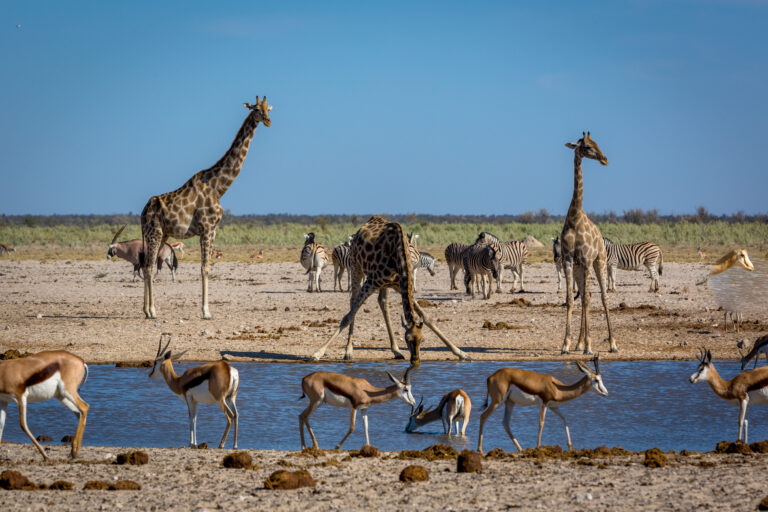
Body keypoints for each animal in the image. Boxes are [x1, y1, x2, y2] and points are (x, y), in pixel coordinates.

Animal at [141, 97, 272, 318]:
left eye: (267, 109)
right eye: (256, 109)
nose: (269, 121)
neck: (218, 187)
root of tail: (142, 213)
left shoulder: (213, 230)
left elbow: (207, 267)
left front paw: (206, 310)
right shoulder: (207, 228)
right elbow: (205, 268)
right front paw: (206, 312)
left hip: (162, 234)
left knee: (144, 265)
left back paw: (145, 310)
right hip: (154, 233)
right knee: (149, 267)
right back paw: (152, 311)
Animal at [310, 215, 468, 364]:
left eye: (422, 340)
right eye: (407, 339)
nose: (415, 360)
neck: (399, 257)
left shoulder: (401, 285)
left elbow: (428, 318)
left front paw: (461, 353)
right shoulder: (371, 282)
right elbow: (347, 317)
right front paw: (317, 354)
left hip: (385, 284)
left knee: (383, 303)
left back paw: (396, 350)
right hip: (356, 267)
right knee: (353, 302)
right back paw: (348, 351)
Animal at [476, 354, 608, 454]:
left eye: (601, 379)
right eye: (596, 380)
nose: (606, 393)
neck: (557, 388)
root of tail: (490, 377)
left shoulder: (554, 406)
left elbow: (565, 419)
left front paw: (570, 446)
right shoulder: (543, 403)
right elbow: (541, 423)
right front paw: (538, 447)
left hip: (510, 402)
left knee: (505, 423)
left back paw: (521, 449)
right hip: (498, 401)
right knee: (483, 416)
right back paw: (480, 450)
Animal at [560, 132, 616, 354]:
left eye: (596, 143)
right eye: (588, 146)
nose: (605, 159)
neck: (575, 218)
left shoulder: (586, 260)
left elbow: (586, 301)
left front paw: (590, 346)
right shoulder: (568, 261)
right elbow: (570, 300)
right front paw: (566, 344)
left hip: (599, 262)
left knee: (602, 297)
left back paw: (612, 344)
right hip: (579, 268)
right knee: (587, 296)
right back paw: (579, 342)